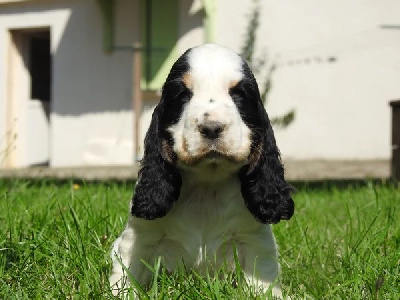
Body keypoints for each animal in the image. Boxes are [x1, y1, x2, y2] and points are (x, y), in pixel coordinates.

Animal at [109, 42, 294, 298]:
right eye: (183, 94)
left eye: (239, 94)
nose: (212, 128)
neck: (207, 184)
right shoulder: (138, 240)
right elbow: (126, 277)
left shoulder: (255, 240)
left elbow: (262, 282)